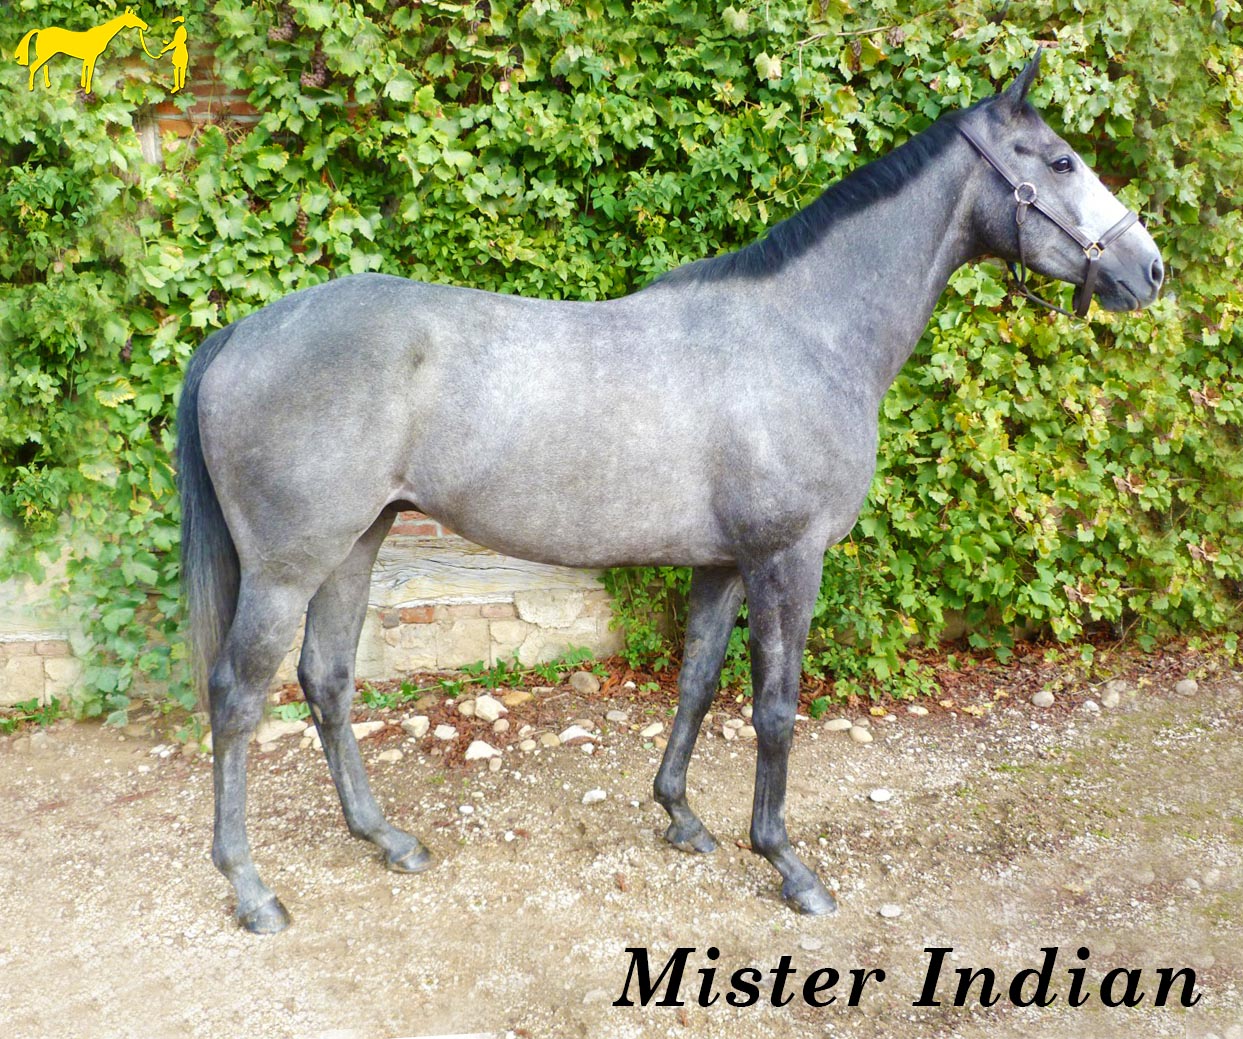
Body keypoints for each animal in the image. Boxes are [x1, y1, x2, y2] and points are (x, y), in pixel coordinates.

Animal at [175, 54, 1163, 934]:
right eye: (1060, 161)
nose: (1148, 270)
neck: (803, 332)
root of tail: (241, 332)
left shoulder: (723, 564)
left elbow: (694, 682)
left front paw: (681, 817)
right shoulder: (786, 560)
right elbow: (774, 708)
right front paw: (788, 863)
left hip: (357, 543)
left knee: (327, 680)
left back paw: (386, 837)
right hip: (288, 567)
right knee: (238, 697)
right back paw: (251, 889)